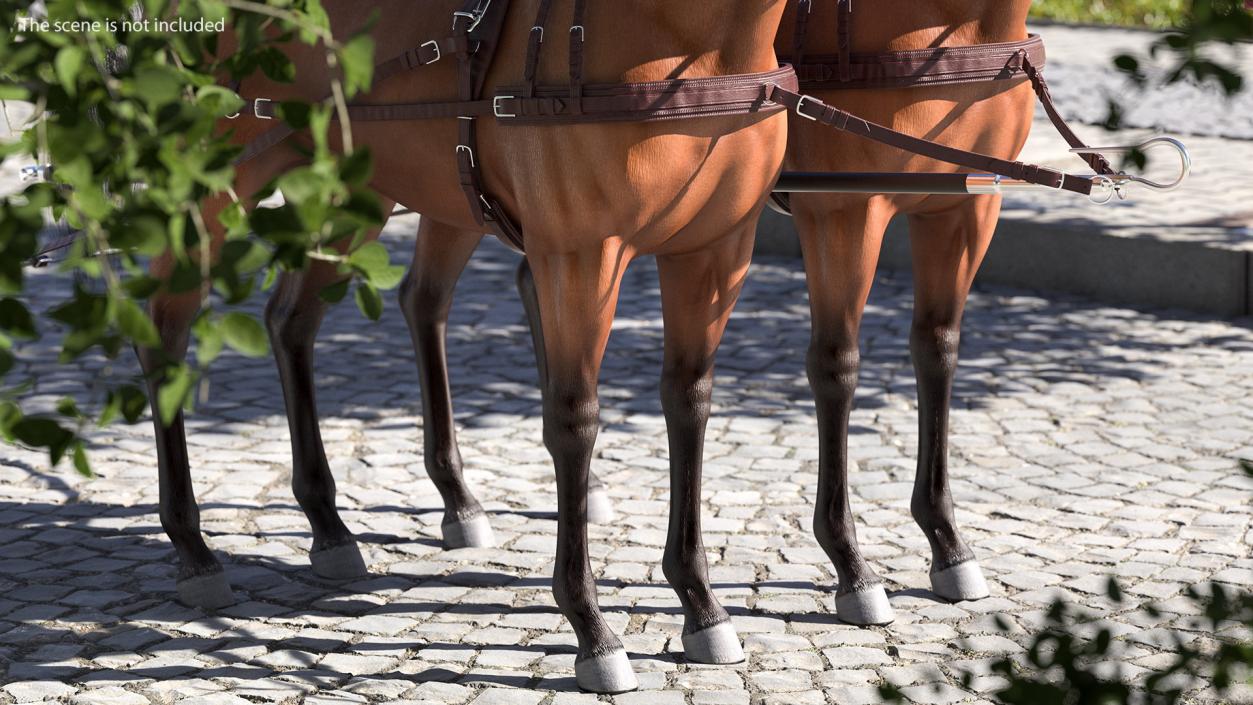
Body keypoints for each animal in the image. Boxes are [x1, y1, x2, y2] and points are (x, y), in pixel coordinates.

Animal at [142, 0, 786, 696]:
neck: (695, 40)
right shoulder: (579, 256)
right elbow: (574, 424)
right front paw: (591, 628)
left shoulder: (718, 251)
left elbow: (688, 407)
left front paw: (701, 603)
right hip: (212, 186)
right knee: (164, 327)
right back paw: (194, 549)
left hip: (357, 194)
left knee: (296, 320)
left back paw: (330, 525)